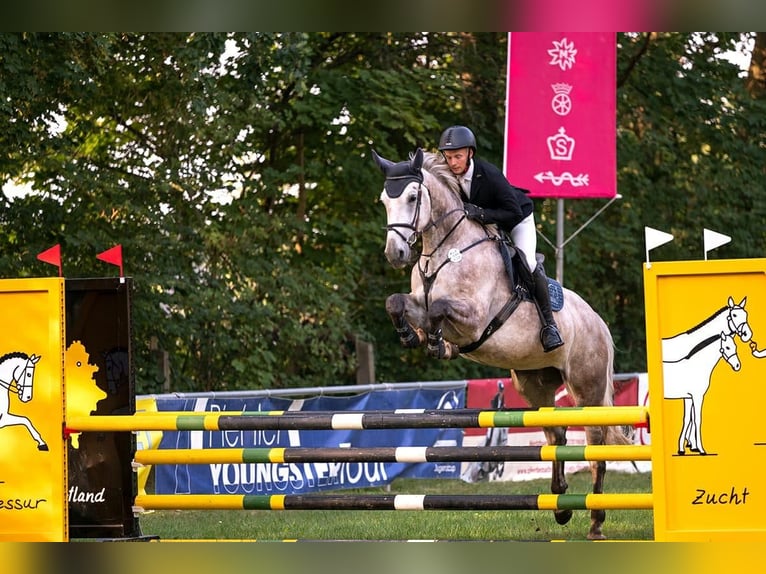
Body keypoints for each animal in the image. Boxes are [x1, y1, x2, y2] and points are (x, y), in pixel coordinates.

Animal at [372, 147, 632, 540]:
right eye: (385, 200)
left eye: (413, 197)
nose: (395, 254)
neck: (446, 250)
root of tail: (599, 324)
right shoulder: (417, 300)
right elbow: (396, 302)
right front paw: (413, 336)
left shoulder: (475, 318)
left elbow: (438, 309)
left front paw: (434, 340)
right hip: (534, 385)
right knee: (556, 435)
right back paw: (560, 506)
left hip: (587, 388)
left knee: (594, 445)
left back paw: (596, 521)